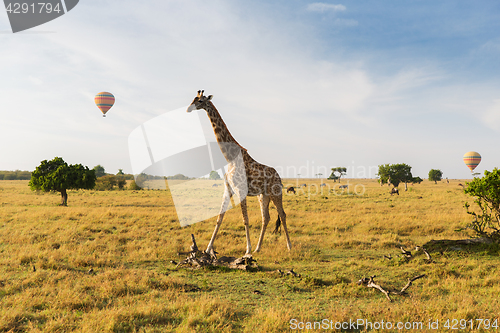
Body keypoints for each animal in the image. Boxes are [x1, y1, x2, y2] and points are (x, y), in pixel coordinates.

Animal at [186, 89, 292, 255]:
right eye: (193, 99)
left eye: (201, 101)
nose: (188, 108)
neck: (229, 157)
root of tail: (279, 178)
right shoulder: (228, 188)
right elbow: (219, 218)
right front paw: (208, 248)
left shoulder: (240, 189)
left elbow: (245, 219)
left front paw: (247, 249)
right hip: (263, 195)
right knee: (266, 218)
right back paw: (258, 248)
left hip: (276, 193)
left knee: (282, 214)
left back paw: (289, 246)